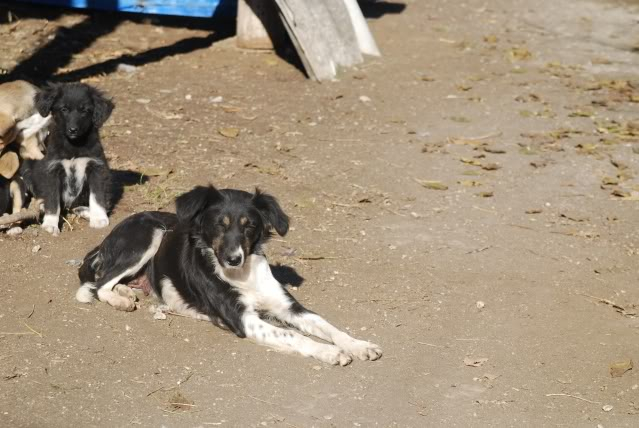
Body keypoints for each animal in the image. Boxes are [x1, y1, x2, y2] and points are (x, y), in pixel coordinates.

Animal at [20, 82, 114, 236]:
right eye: (64, 109)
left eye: (85, 111)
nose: (73, 130)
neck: (74, 144)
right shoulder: (52, 170)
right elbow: (52, 200)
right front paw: (50, 224)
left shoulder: (97, 167)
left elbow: (97, 196)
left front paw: (99, 218)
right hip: (27, 166)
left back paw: (85, 211)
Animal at [77, 186, 382, 366]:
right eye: (219, 225)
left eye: (249, 227)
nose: (233, 258)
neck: (243, 274)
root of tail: (108, 237)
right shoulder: (244, 319)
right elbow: (293, 335)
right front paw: (330, 352)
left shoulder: (289, 308)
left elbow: (328, 326)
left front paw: (358, 345)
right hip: (149, 233)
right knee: (98, 284)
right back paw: (120, 300)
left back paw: (127, 292)